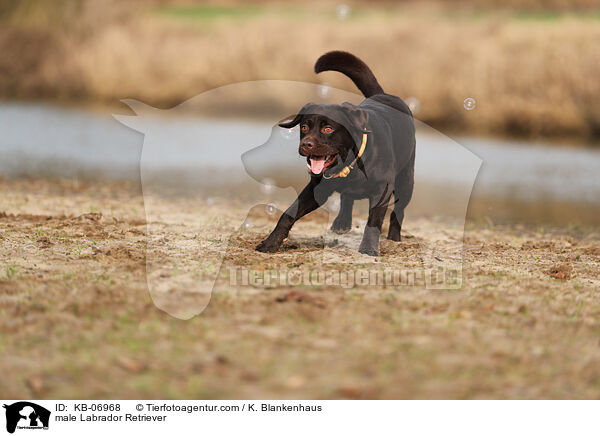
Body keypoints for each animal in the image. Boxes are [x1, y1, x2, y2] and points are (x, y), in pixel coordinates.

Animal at [255, 50, 414, 255]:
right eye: (304, 127)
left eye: (328, 129)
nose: (306, 144)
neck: (351, 165)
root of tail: (383, 94)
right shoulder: (316, 189)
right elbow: (288, 214)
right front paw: (270, 243)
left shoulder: (382, 190)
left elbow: (374, 221)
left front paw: (369, 249)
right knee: (347, 198)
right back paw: (342, 222)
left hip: (406, 179)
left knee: (399, 210)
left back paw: (394, 237)